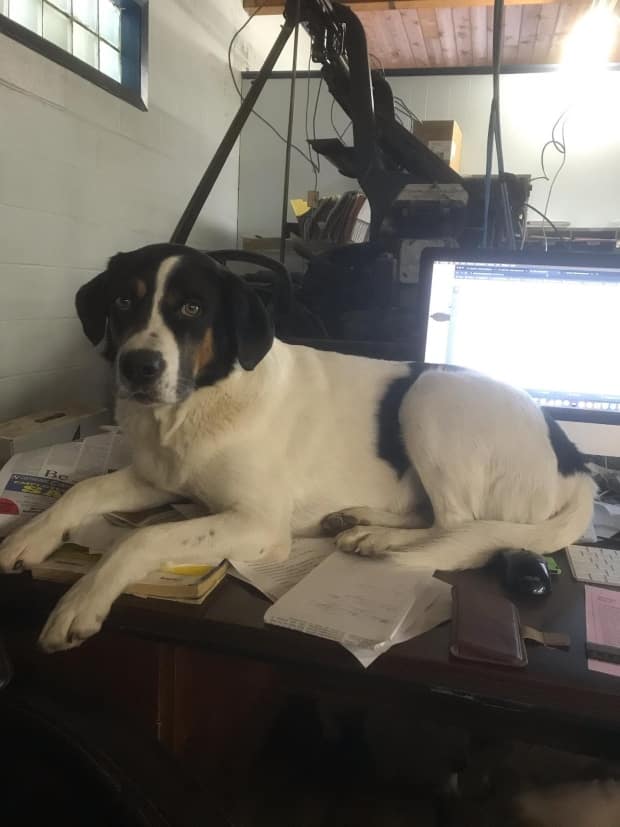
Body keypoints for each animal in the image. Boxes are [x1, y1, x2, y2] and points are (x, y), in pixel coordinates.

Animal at [0, 243, 596, 652]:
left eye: (192, 309)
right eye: (125, 300)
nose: (138, 368)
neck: (197, 404)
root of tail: (576, 462)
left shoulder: (259, 524)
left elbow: (143, 538)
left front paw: (82, 599)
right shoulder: (154, 478)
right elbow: (79, 493)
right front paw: (26, 538)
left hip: (432, 394)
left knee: (459, 529)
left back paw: (380, 540)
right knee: (434, 516)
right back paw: (359, 520)